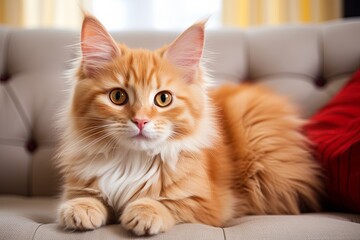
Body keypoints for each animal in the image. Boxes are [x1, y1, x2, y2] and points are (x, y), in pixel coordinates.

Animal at [57, 15, 324, 236]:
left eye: (163, 99)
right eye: (118, 97)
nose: (141, 120)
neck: (133, 161)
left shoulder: (209, 204)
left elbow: (168, 203)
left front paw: (145, 211)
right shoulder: (79, 185)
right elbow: (87, 198)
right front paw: (80, 209)